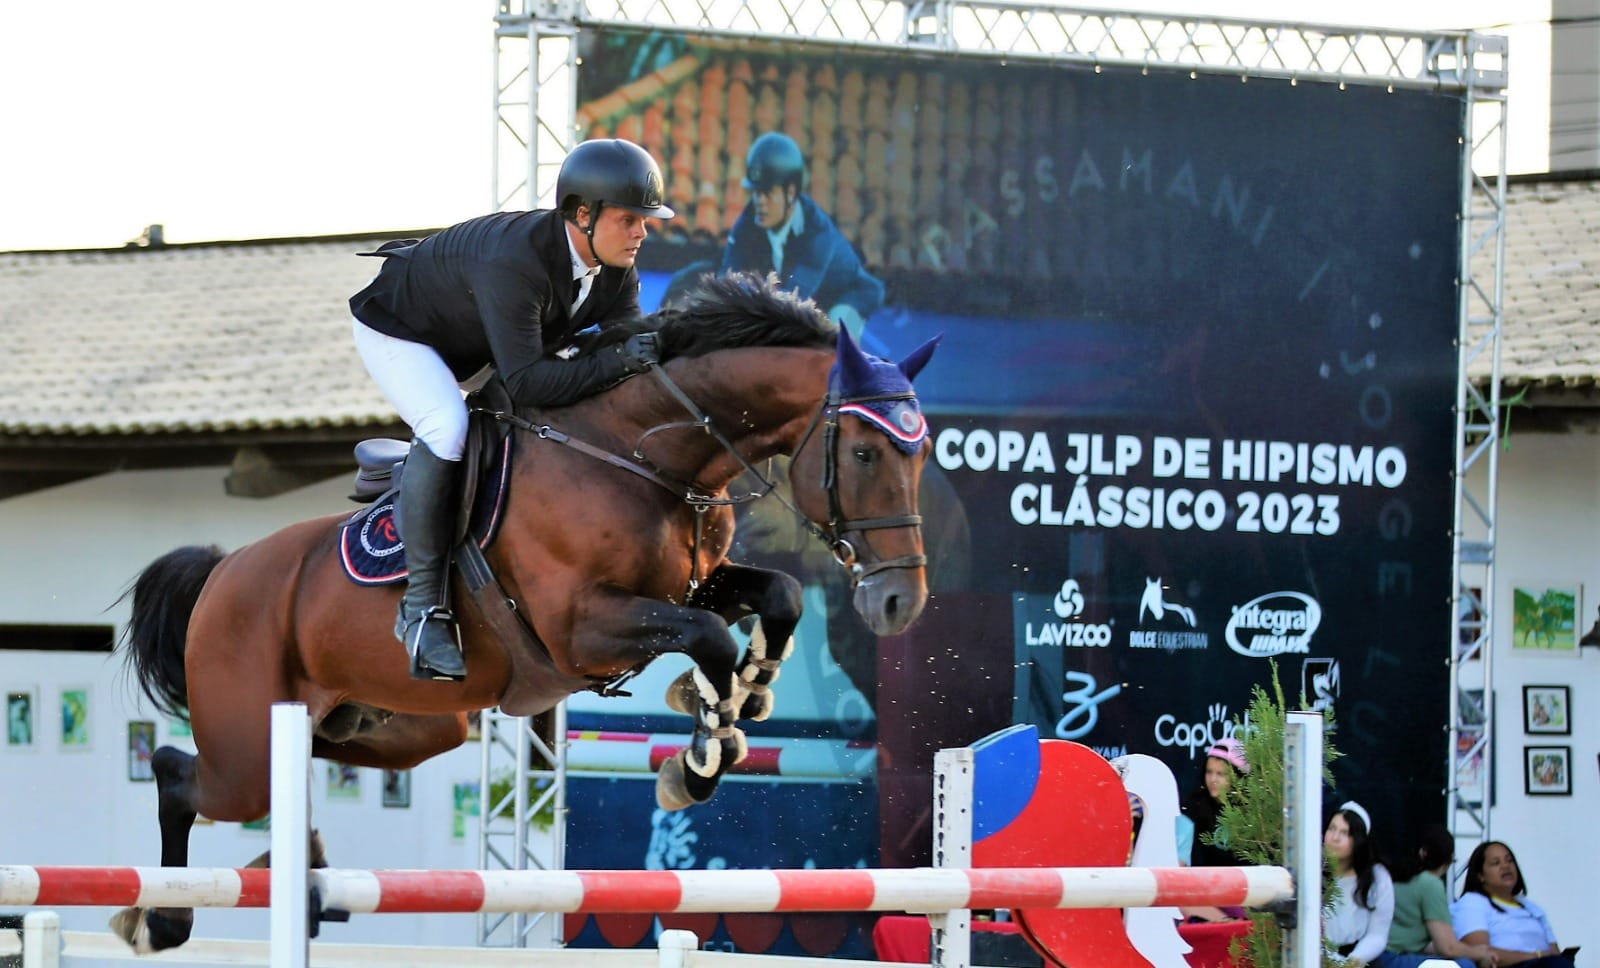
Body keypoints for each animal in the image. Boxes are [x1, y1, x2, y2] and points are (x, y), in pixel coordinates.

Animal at [112, 273, 934, 953]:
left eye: (920, 458)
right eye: (865, 454)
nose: (901, 602)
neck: (646, 455)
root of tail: (224, 571)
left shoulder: (689, 585)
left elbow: (776, 596)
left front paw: (741, 693)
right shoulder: (581, 629)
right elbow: (706, 638)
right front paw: (701, 756)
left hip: (397, 726)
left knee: (284, 762)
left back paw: (278, 870)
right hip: (249, 741)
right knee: (181, 775)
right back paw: (160, 917)